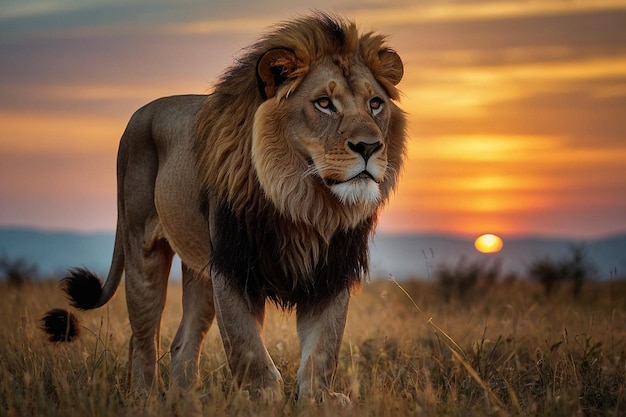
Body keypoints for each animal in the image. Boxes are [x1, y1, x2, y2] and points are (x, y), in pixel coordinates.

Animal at [44, 13, 404, 404]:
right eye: (324, 103)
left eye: (375, 104)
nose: (370, 147)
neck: (302, 201)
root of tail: (140, 113)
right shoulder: (233, 267)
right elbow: (248, 348)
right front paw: (263, 399)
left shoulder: (330, 271)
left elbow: (323, 350)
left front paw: (318, 400)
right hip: (143, 250)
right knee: (142, 340)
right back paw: (144, 399)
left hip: (200, 270)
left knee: (182, 344)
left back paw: (186, 400)